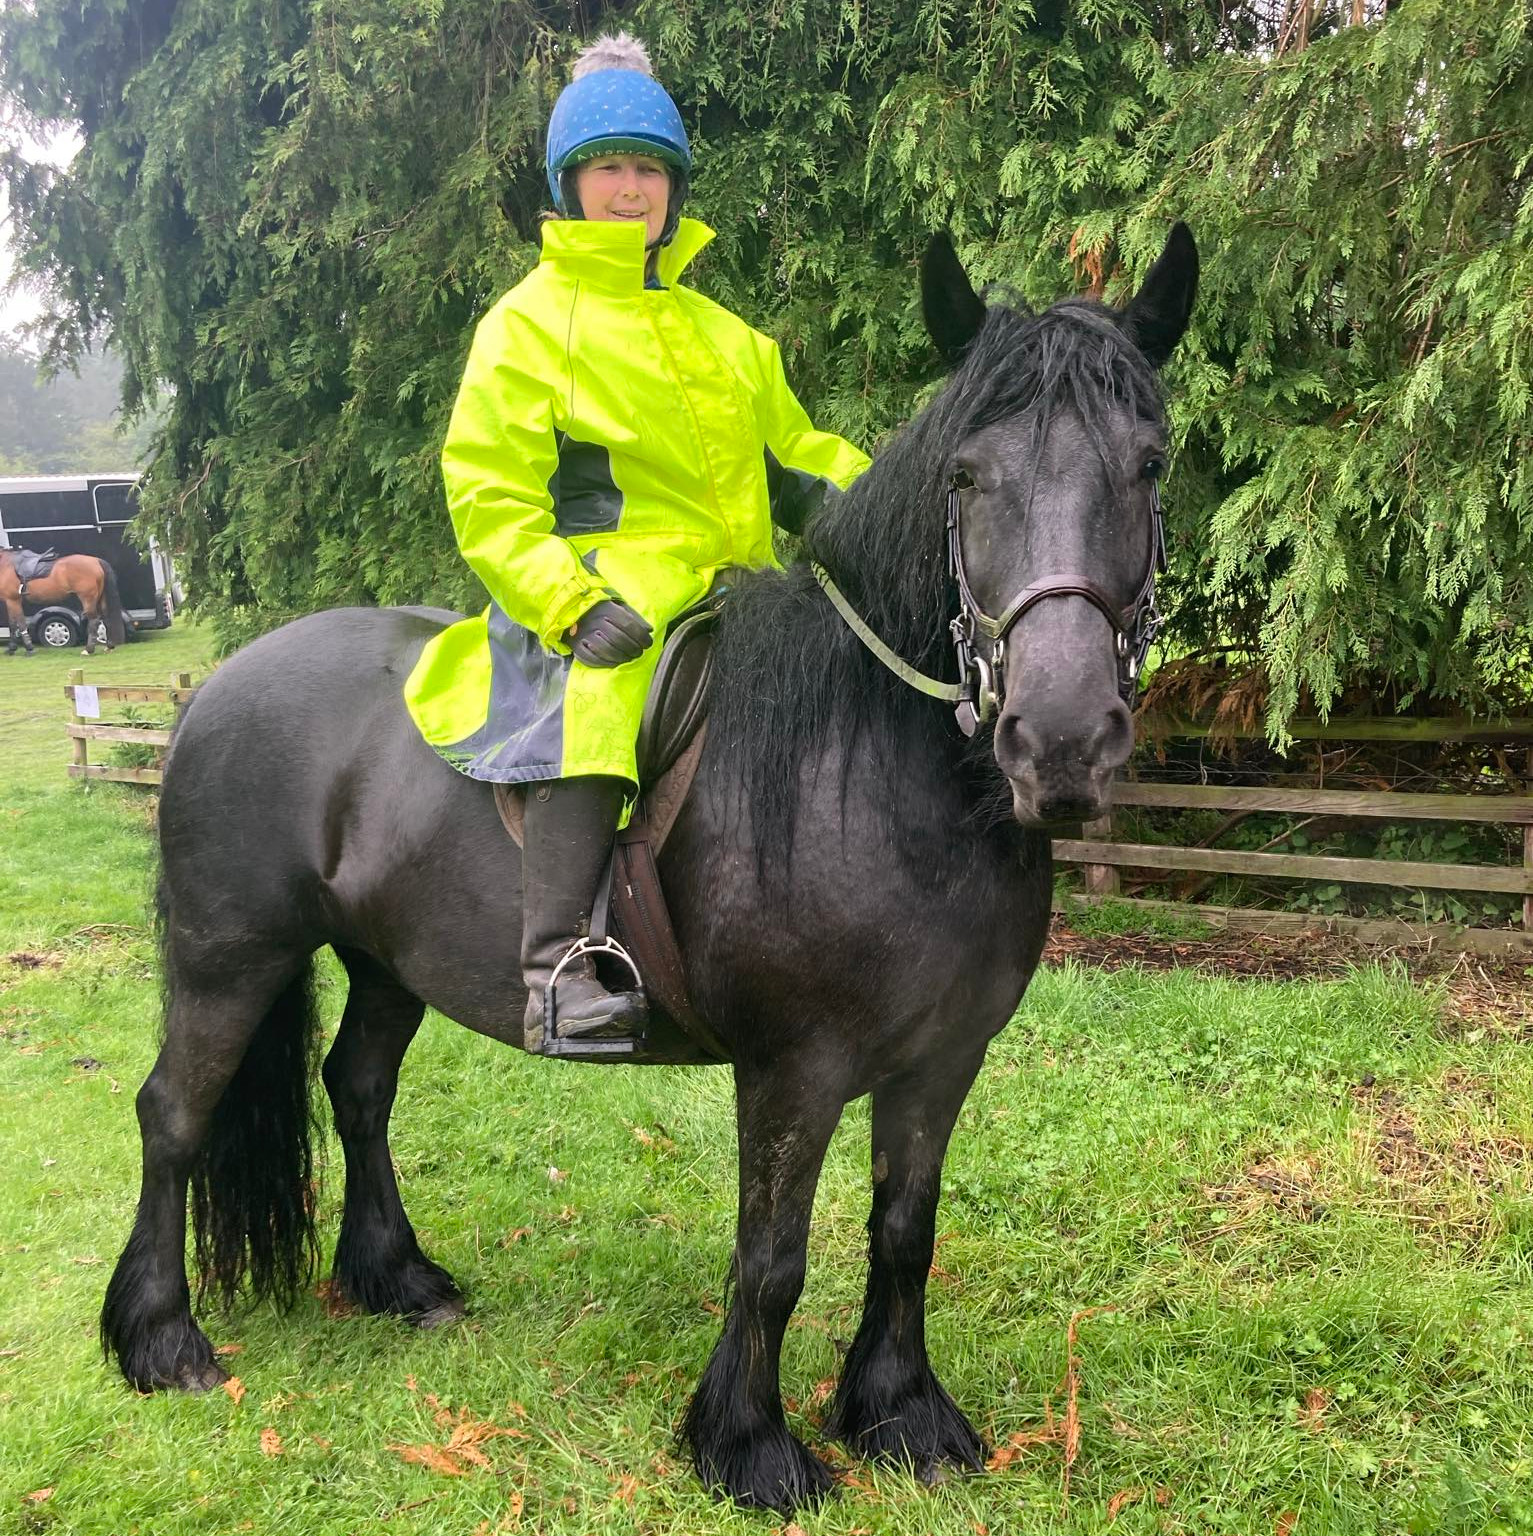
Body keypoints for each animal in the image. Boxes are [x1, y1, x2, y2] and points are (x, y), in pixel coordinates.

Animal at [102, 227, 1204, 1511]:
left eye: (1150, 465)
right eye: (966, 477)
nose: (1062, 739)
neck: (872, 762)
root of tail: (216, 688)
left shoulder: (941, 1062)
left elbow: (904, 1232)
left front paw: (900, 1414)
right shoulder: (793, 1068)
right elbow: (771, 1257)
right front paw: (750, 1445)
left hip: (386, 964)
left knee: (357, 1088)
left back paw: (395, 1278)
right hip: (229, 956)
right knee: (173, 1113)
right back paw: (160, 1338)